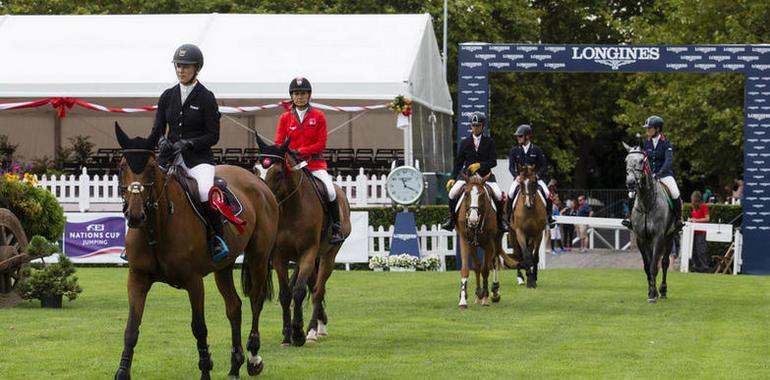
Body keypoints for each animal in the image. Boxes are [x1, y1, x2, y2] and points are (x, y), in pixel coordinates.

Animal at [115, 123, 278, 378]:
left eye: (151, 169)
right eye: (122, 167)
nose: (135, 215)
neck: (157, 228)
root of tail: (258, 182)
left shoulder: (193, 281)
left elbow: (199, 327)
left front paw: (205, 368)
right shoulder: (137, 279)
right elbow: (131, 329)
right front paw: (122, 372)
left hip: (258, 257)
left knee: (255, 300)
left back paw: (253, 358)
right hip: (224, 267)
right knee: (234, 307)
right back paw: (235, 365)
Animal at [254, 135, 350, 346]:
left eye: (278, 172)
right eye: (256, 169)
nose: (263, 198)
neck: (291, 208)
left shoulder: (308, 252)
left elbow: (298, 292)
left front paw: (298, 333)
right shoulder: (279, 256)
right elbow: (285, 294)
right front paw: (287, 334)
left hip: (328, 255)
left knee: (317, 290)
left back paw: (313, 330)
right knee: (313, 287)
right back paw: (319, 324)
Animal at [452, 174, 520, 308]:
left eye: (482, 195)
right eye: (466, 194)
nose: (472, 220)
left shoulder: (489, 244)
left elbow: (485, 269)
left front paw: (485, 297)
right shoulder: (466, 240)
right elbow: (470, 268)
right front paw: (465, 299)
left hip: (496, 241)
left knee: (494, 261)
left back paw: (494, 292)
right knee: (483, 264)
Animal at [620, 142, 676, 302]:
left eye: (641, 161)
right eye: (626, 161)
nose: (631, 183)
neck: (647, 202)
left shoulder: (658, 237)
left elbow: (654, 266)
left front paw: (652, 294)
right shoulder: (641, 238)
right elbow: (647, 265)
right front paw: (651, 291)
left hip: (670, 237)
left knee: (664, 263)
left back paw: (662, 290)